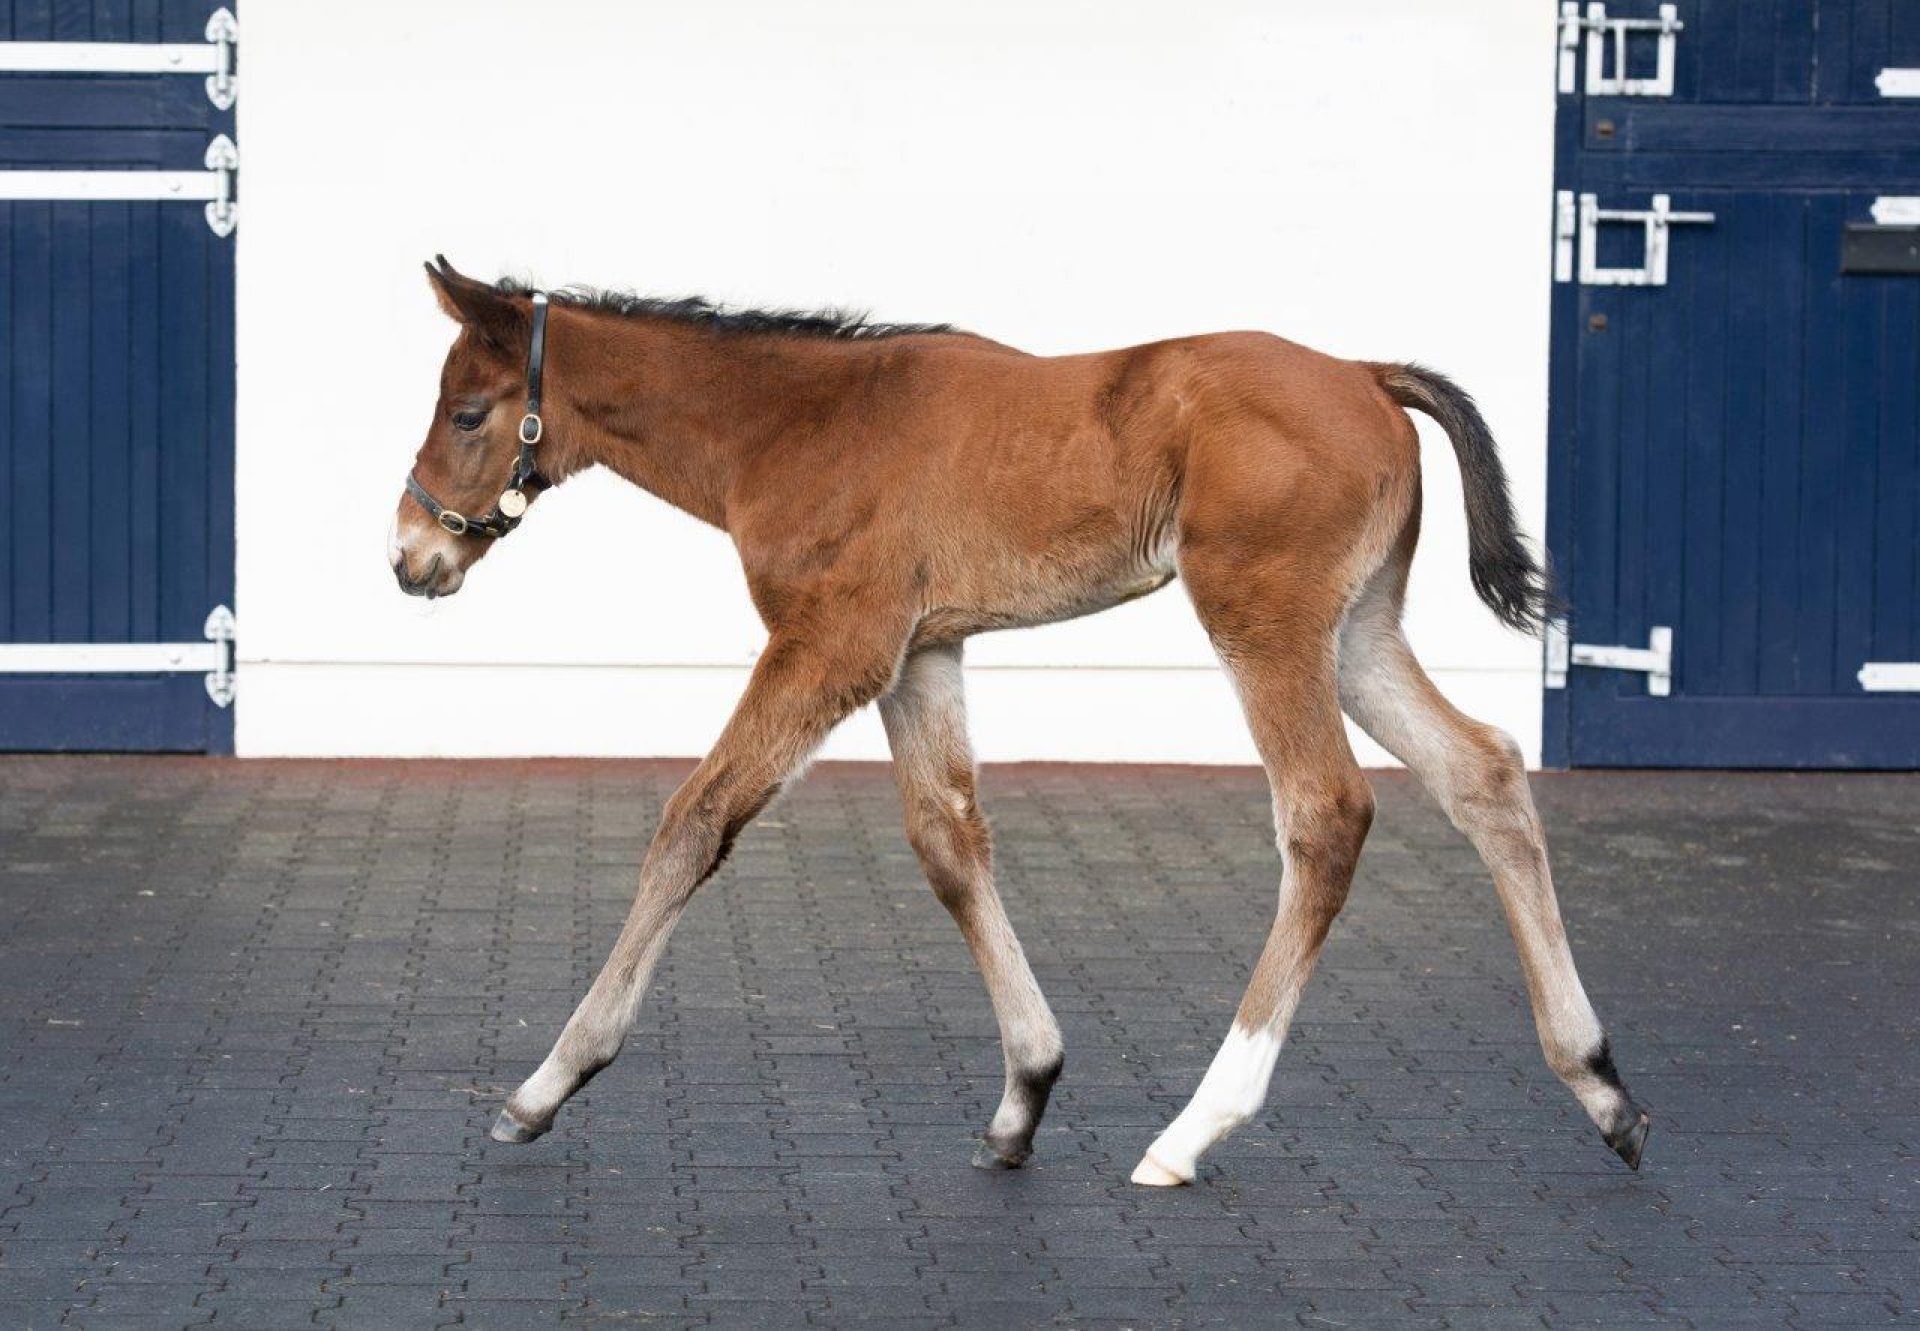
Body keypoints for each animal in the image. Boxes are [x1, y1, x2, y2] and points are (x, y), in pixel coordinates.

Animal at [389, 259, 1651, 1183]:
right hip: (1359, 631)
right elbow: (951, 841)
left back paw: (1196, 1127)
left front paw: (546, 1083)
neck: (795, 421)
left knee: (1326, 810)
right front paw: (1024, 1091)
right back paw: (1601, 1082)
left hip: (1266, 616)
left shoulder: (831, 641)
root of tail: (1367, 374)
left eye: (469, 410)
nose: (412, 557)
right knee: (1483, 769)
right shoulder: (920, 651)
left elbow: (693, 823)